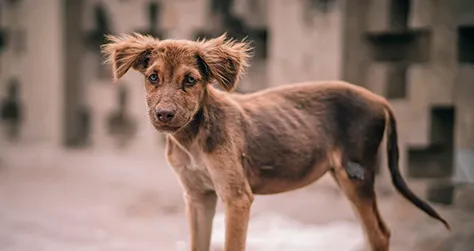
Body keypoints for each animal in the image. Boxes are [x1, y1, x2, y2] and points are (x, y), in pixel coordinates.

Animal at [102, 33, 450, 251]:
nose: (164, 115)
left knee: (378, 234)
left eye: (190, 80)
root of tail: (379, 99)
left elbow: (232, 246)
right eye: (153, 78)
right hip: (345, 177)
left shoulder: (237, 197)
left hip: (357, 175)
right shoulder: (197, 196)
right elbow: (198, 245)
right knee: (373, 232)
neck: (193, 139)